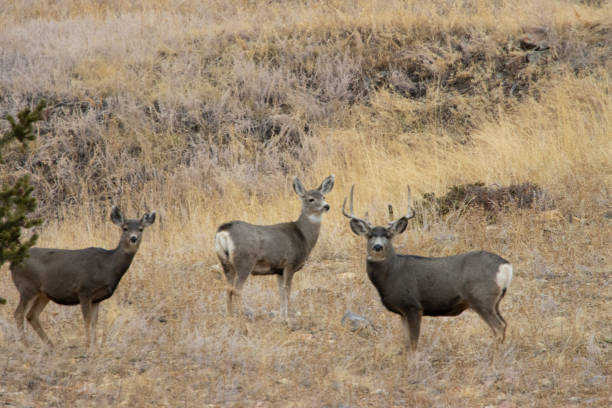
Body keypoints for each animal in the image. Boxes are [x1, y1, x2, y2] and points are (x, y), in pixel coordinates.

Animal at [9, 207, 155, 348]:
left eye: (141, 229)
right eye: (125, 228)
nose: (133, 238)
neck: (107, 266)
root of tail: (12, 263)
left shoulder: (97, 298)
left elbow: (95, 322)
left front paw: (94, 346)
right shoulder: (84, 290)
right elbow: (87, 320)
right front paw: (87, 346)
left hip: (43, 293)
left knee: (31, 315)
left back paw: (51, 345)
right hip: (27, 287)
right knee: (18, 313)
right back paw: (26, 345)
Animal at [216, 175, 334, 318]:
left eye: (324, 197)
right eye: (311, 199)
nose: (326, 206)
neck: (303, 235)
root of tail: (223, 232)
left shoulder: (279, 269)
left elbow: (281, 293)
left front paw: (281, 316)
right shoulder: (290, 263)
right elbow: (287, 292)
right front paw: (287, 318)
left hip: (226, 262)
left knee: (227, 288)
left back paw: (230, 316)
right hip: (244, 261)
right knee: (236, 289)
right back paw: (245, 316)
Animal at [344, 186, 512, 352]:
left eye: (388, 236)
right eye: (369, 236)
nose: (378, 247)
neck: (392, 273)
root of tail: (505, 265)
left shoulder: (413, 306)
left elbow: (413, 344)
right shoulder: (402, 312)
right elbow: (405, 343)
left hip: (481, 298)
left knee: (499, 326)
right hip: (495, 302)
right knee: (504, 323)